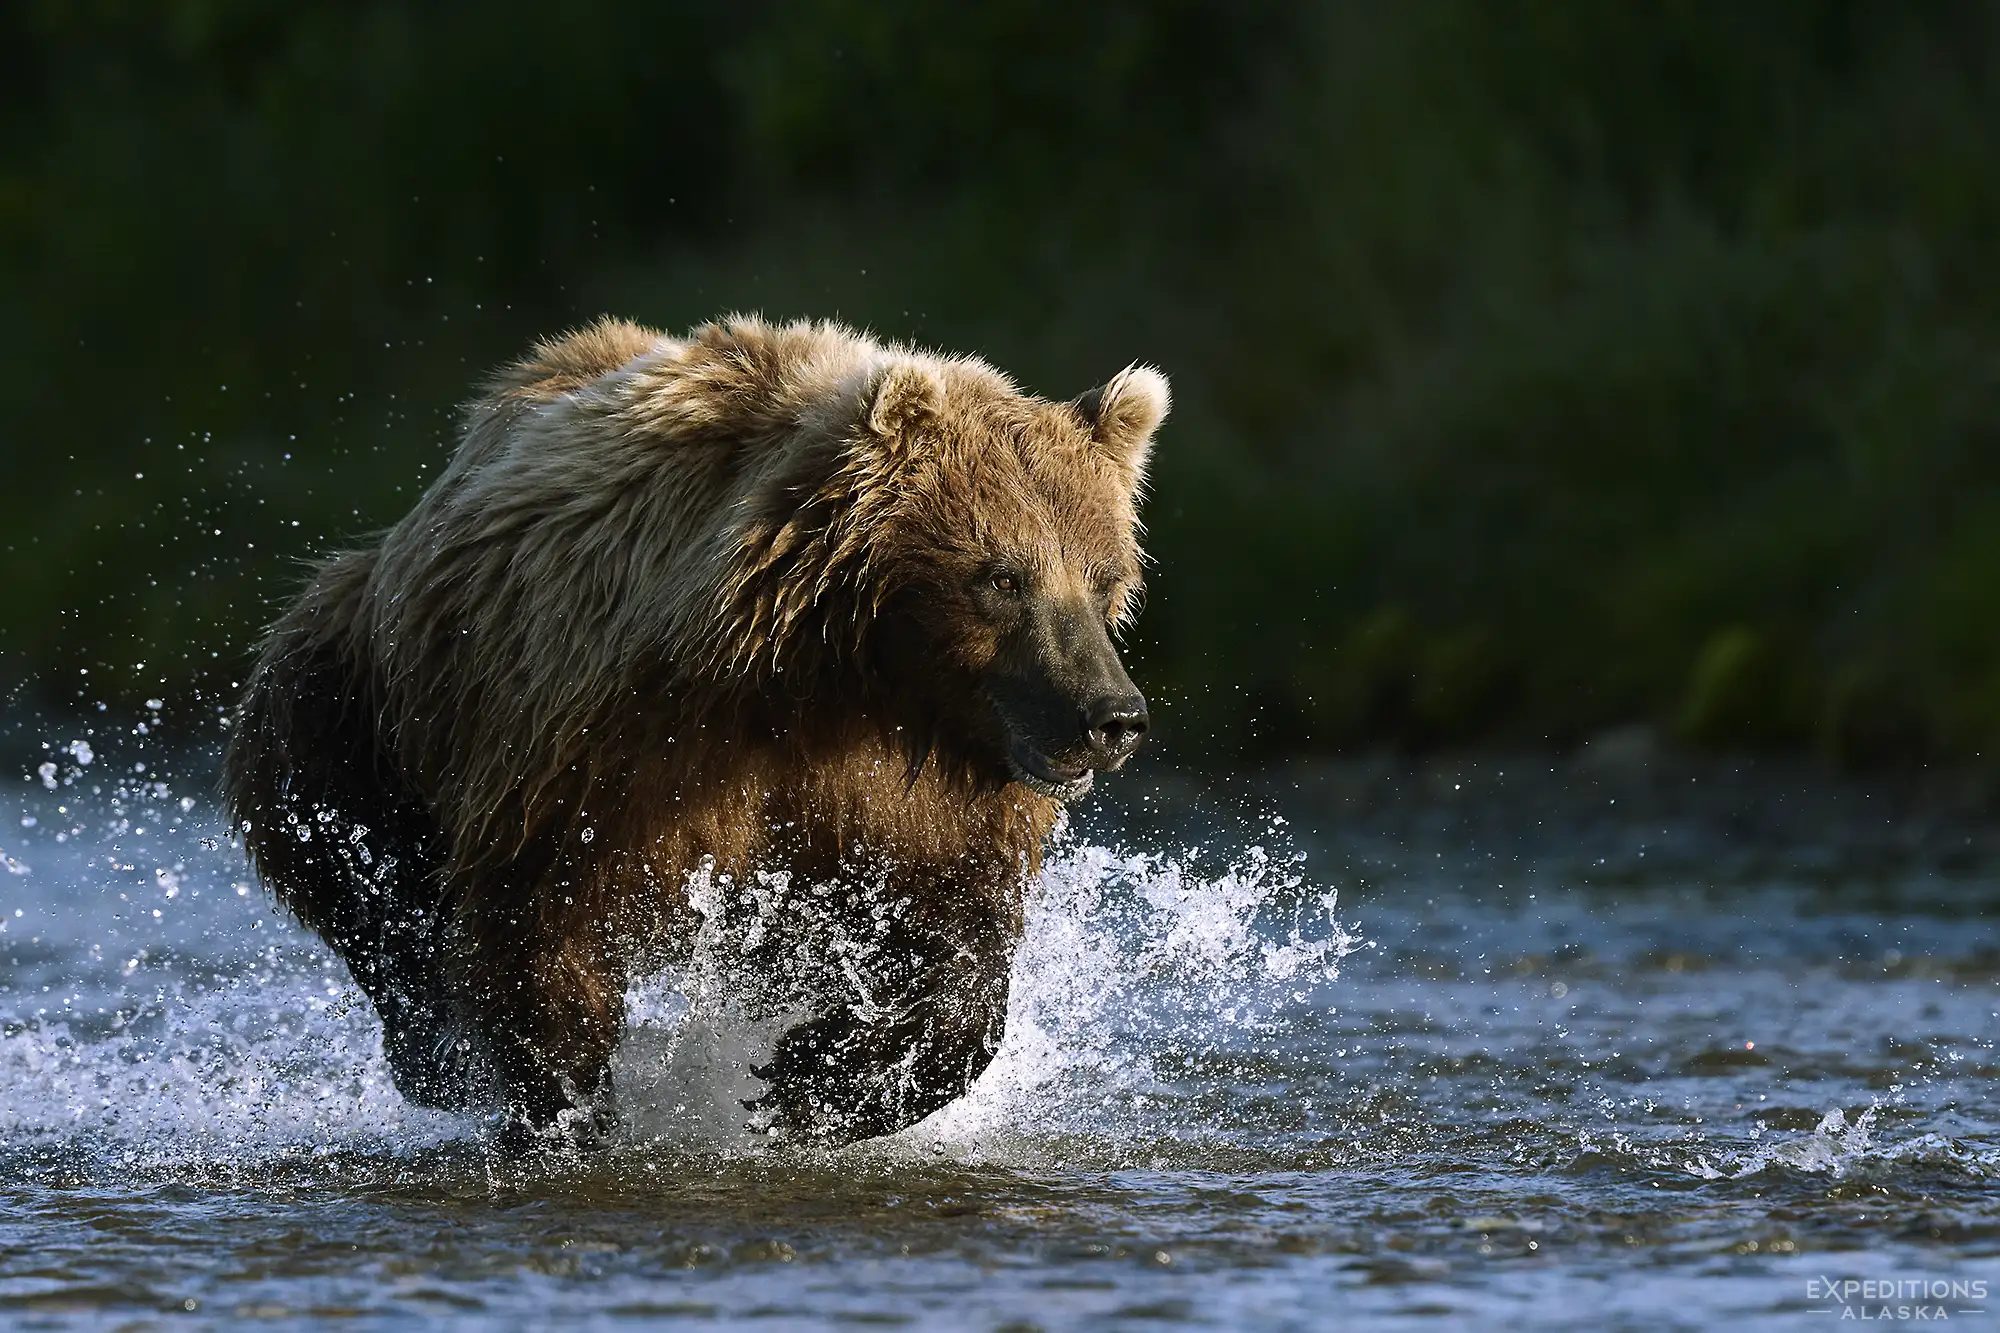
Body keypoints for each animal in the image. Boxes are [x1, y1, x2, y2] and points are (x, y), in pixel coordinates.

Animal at [221, 315, 1166, 1149]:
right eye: (1003, 577)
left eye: (1104, 576)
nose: (1111, 716)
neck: (841, 670)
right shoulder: (616, 747)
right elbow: (546, 924)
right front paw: (566, 1106)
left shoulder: (921, 792)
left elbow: (951, 938)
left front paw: (815, 1082)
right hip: (359, 696)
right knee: (356, 867)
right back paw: (434, 1047)